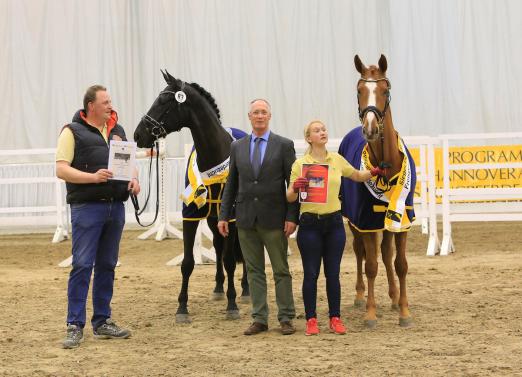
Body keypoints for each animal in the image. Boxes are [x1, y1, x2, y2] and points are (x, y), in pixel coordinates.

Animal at [134, 72, 248, 322]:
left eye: (163, 101)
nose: (139, 134)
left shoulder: (231, 218)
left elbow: (230, 261)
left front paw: (232, 304)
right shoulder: (191, 214)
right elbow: (187, 263)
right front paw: (182, 308)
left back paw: (246, 290)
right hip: (213, 220)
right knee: (217, 246)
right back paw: (218, 288)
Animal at [338, 54, 414, 328]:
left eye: (385, 89)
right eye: (359, 90)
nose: (370, 128)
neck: (386, 163)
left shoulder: (402, 220)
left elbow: (400, 263)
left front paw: (404, 311)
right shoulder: (366, 220)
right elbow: (370, 265)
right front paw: (370, 313)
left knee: (387, 253)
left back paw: (393, 297)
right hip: (354, 221)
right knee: (361, 253)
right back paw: (361, 296)